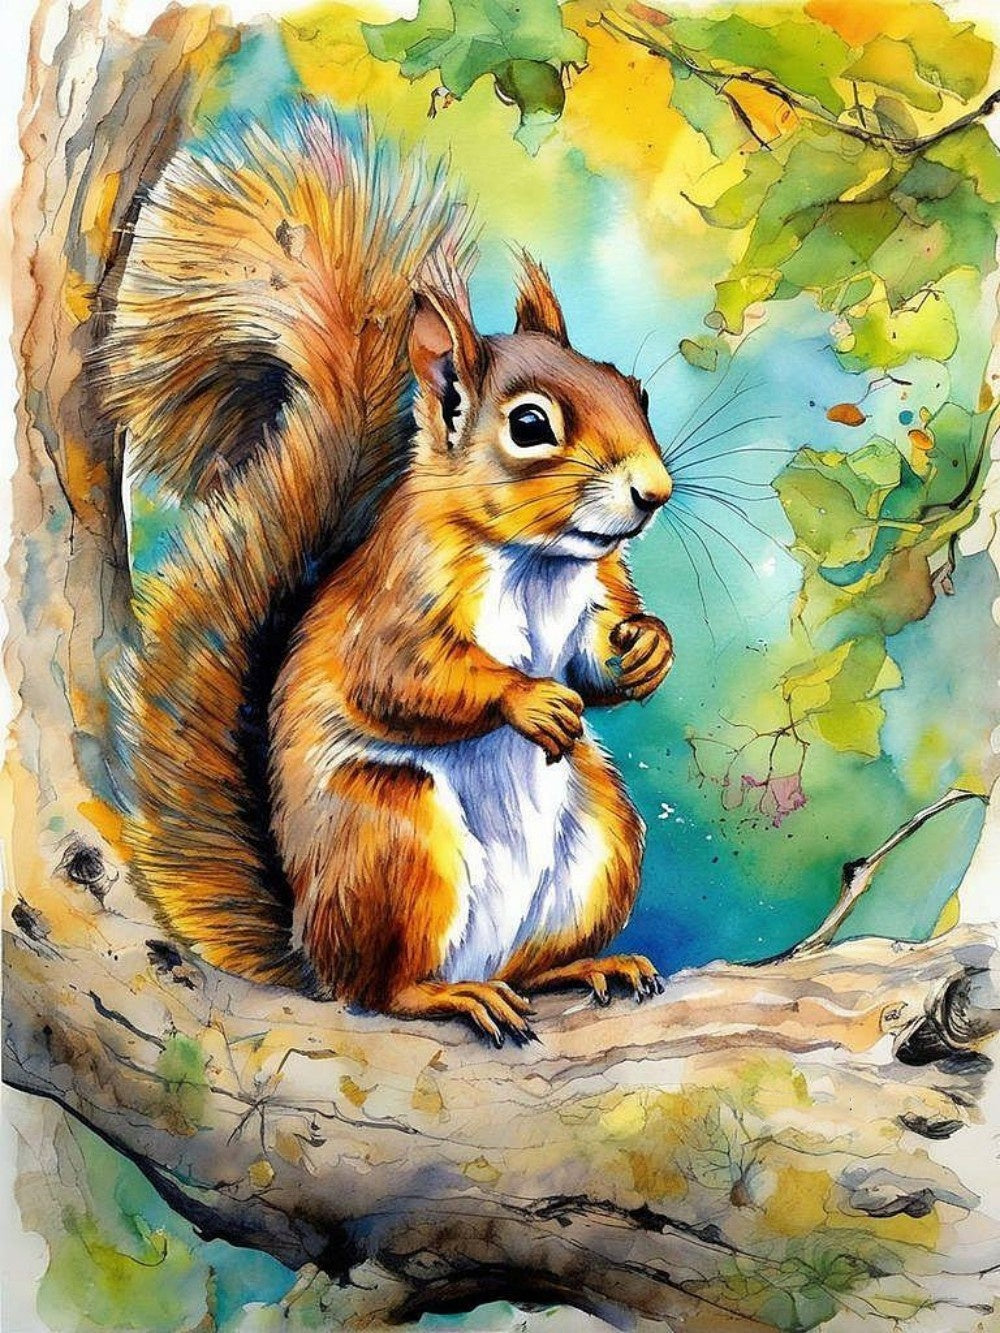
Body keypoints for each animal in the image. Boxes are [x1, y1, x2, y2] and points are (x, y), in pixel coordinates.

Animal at [100, 104, 675, 1045]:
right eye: (530, 425)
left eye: (634, 391)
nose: (653, 492)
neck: (538, 560)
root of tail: (309, 952)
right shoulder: (397, 597)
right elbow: (396, 674)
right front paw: (526, 698)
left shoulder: (598, 591)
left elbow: (597, 654)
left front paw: (648, 648)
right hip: (392, 831)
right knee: (378, 987)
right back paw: (445, 994)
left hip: (601, 833)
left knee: (527, 963)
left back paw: (583, 965)